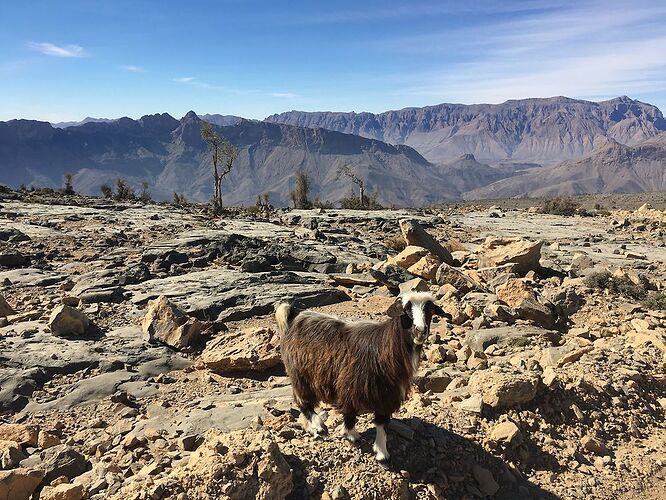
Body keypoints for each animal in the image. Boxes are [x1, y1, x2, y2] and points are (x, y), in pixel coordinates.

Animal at [272, 292, 448, 462]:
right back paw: (319, 427)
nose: (420, 330)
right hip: (300, 376)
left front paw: (382, 453)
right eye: (406, 310)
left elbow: (382, 424)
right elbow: (350, 414)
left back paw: (313, 430)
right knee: (304, 403)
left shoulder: (387, 396)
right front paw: (351, 435)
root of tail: (295, 314)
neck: (385, 348)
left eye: (430, 310)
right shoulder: (349, 387)